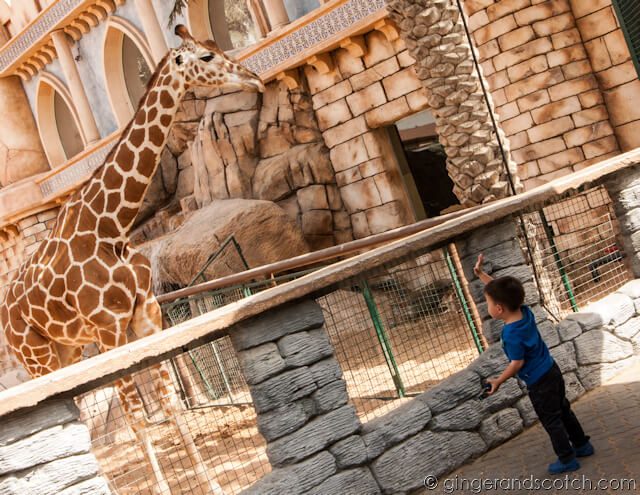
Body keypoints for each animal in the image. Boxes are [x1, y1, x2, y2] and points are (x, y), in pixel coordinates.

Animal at [1, 25, 265, 494]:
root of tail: (4, 310)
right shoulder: (108, 330)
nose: (254, 79)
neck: (110, 225)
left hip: (66, 350)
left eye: (214, 46)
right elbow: (138, 418)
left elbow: (170, 404)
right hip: (36, 357)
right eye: (205, 57)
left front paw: (212, 486)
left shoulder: (147, 314)